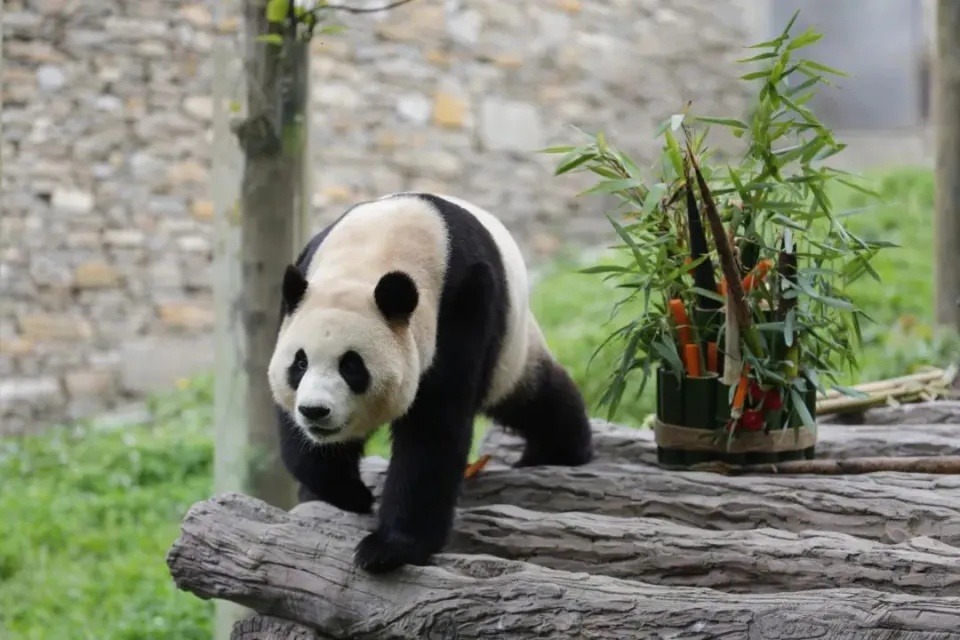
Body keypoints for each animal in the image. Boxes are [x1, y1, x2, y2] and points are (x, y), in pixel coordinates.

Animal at [268, 191, 592, 576]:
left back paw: (561, 451)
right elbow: (299, 441)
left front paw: (388, 548)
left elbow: (434, 430)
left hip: (511, 349)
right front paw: (346, 493)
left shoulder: (463, 304)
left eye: (352, 366)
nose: (315, 411)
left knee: (536, 398)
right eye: (300, 363)